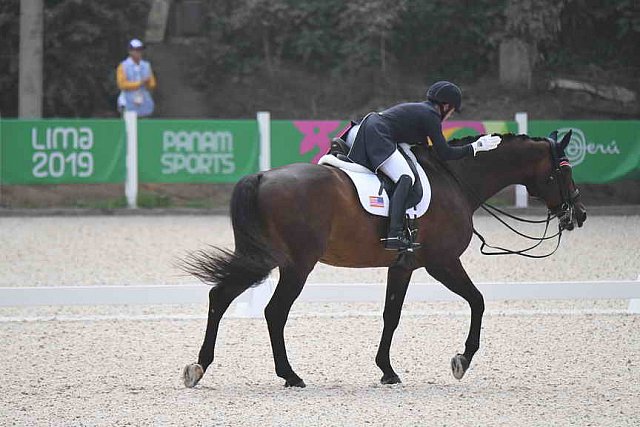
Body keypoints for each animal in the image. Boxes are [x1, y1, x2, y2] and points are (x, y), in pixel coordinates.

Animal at [180, 132, 584, 390]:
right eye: (564, 170)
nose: (577, 214)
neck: (456, 180)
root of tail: (262, 176)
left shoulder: (402, 266)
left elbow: (392, 314)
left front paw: (387, 371)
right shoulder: (442, 262)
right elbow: (477, 301)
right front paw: (461, 361)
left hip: (261, 258)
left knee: (220, 296)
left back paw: (199, 367)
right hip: (297, 265)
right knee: (274, 311)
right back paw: (290, 376)